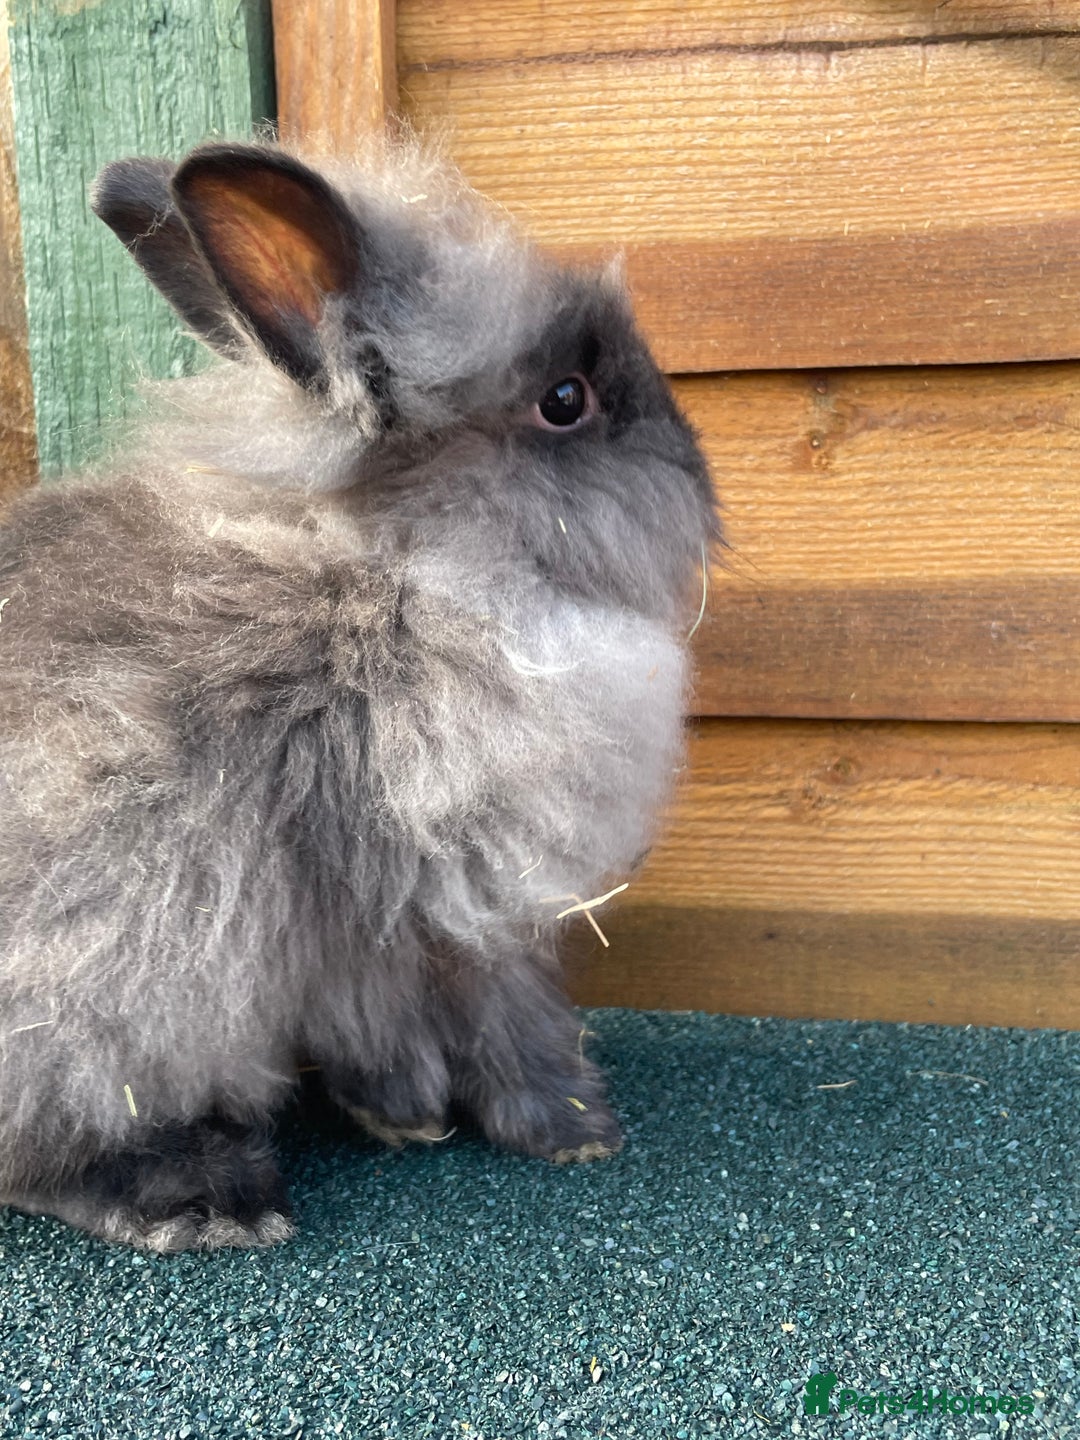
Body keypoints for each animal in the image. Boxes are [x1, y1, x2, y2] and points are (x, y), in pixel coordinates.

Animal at [0, 137, 719, 1251]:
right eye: (566, 400)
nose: (699, 470)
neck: (410, 568)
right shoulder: (434, 884)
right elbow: (491, 1008)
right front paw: (565, 1126)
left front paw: (407, 1115)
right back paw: (208, 1195)